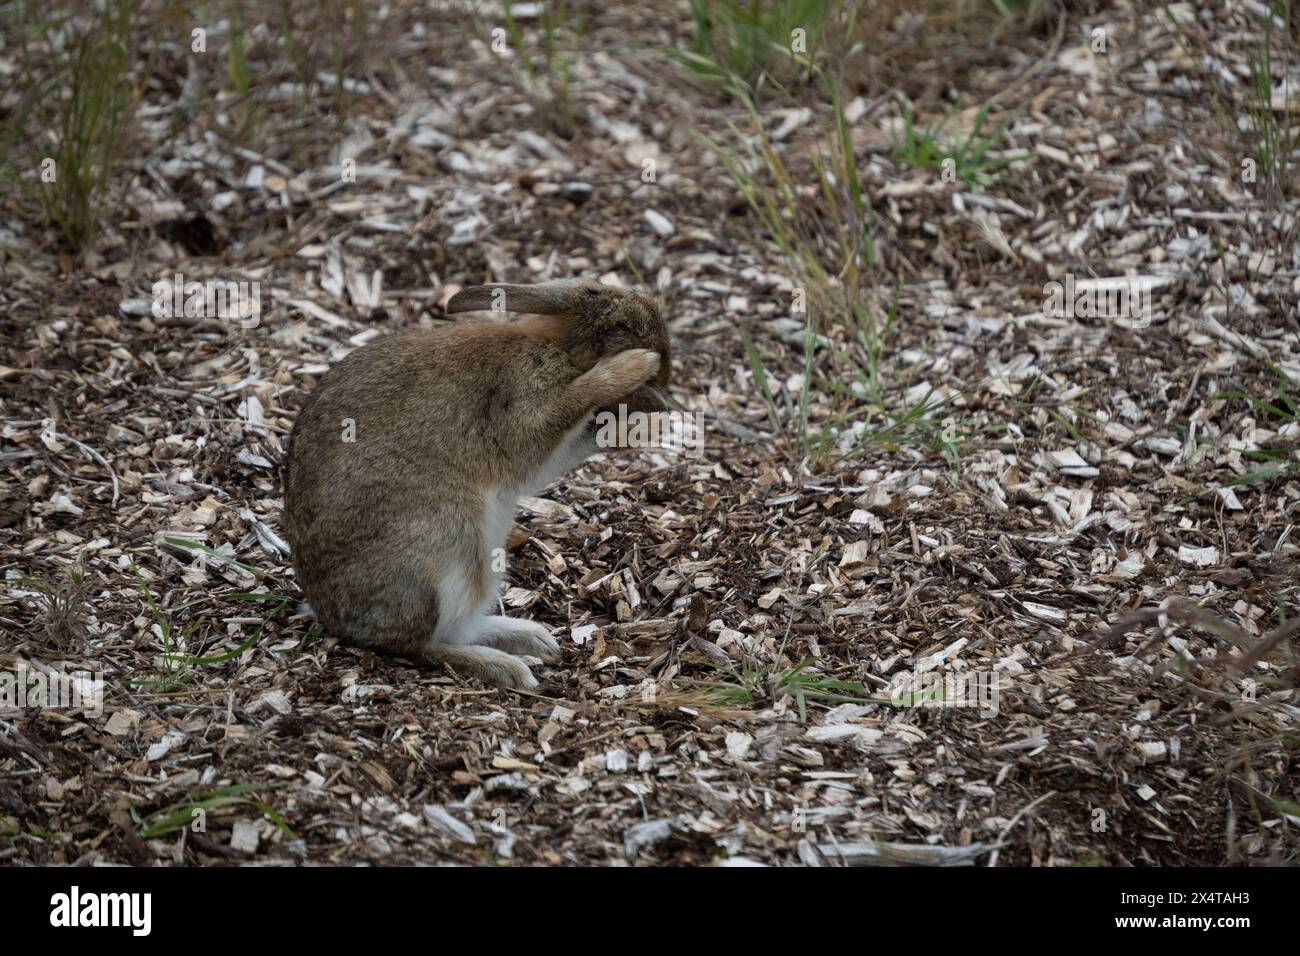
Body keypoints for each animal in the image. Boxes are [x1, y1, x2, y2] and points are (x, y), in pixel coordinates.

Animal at [283, 279, 671, 690]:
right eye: (624, 329)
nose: (664, 371)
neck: (558, 347)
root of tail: (331, 617)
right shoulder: (523, 411)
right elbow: (573, 403)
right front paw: (635, 368)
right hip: (445, 553)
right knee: (418, 646)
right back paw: (508, 668)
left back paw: (532, 639)